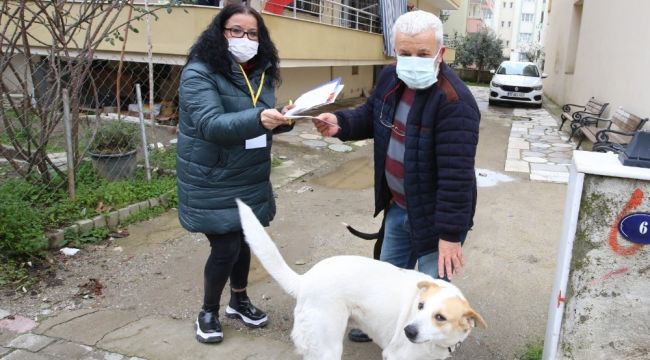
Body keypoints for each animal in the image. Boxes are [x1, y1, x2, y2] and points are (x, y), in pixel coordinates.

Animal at [235, 200, 484, 360]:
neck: (440, 340)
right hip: (327, 348)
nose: (408, 331)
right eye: (420, 306)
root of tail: (305, 280)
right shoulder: (397, 356)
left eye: (440, 317)